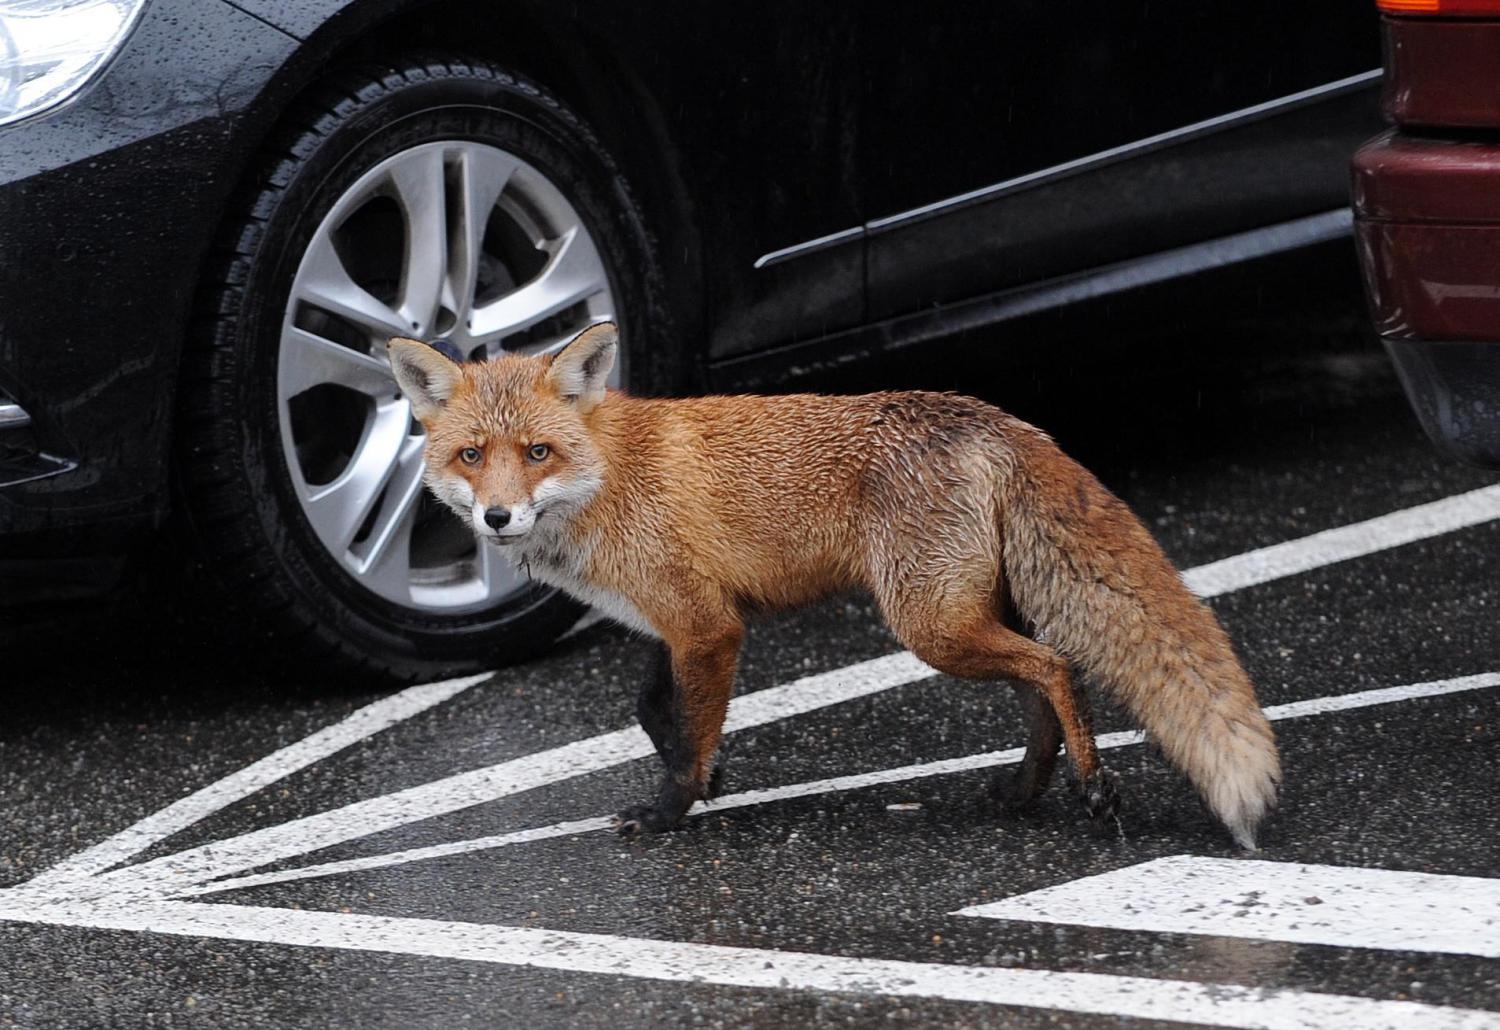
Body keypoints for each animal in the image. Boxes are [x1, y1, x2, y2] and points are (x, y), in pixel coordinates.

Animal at [387, 323, 1281, 849]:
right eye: (472, 456)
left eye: (537, 452)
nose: (498, 517)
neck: (608, 476)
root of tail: (992, 415)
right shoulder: (677, 620)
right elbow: (653, 710)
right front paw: (708, 773)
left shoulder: (708, 627)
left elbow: (683, 735)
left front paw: (671, 807)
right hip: (971, 614)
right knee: (1044, 680)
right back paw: (1026, 789)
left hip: (932, 626)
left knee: (1059, 666)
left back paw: (1095, 790)